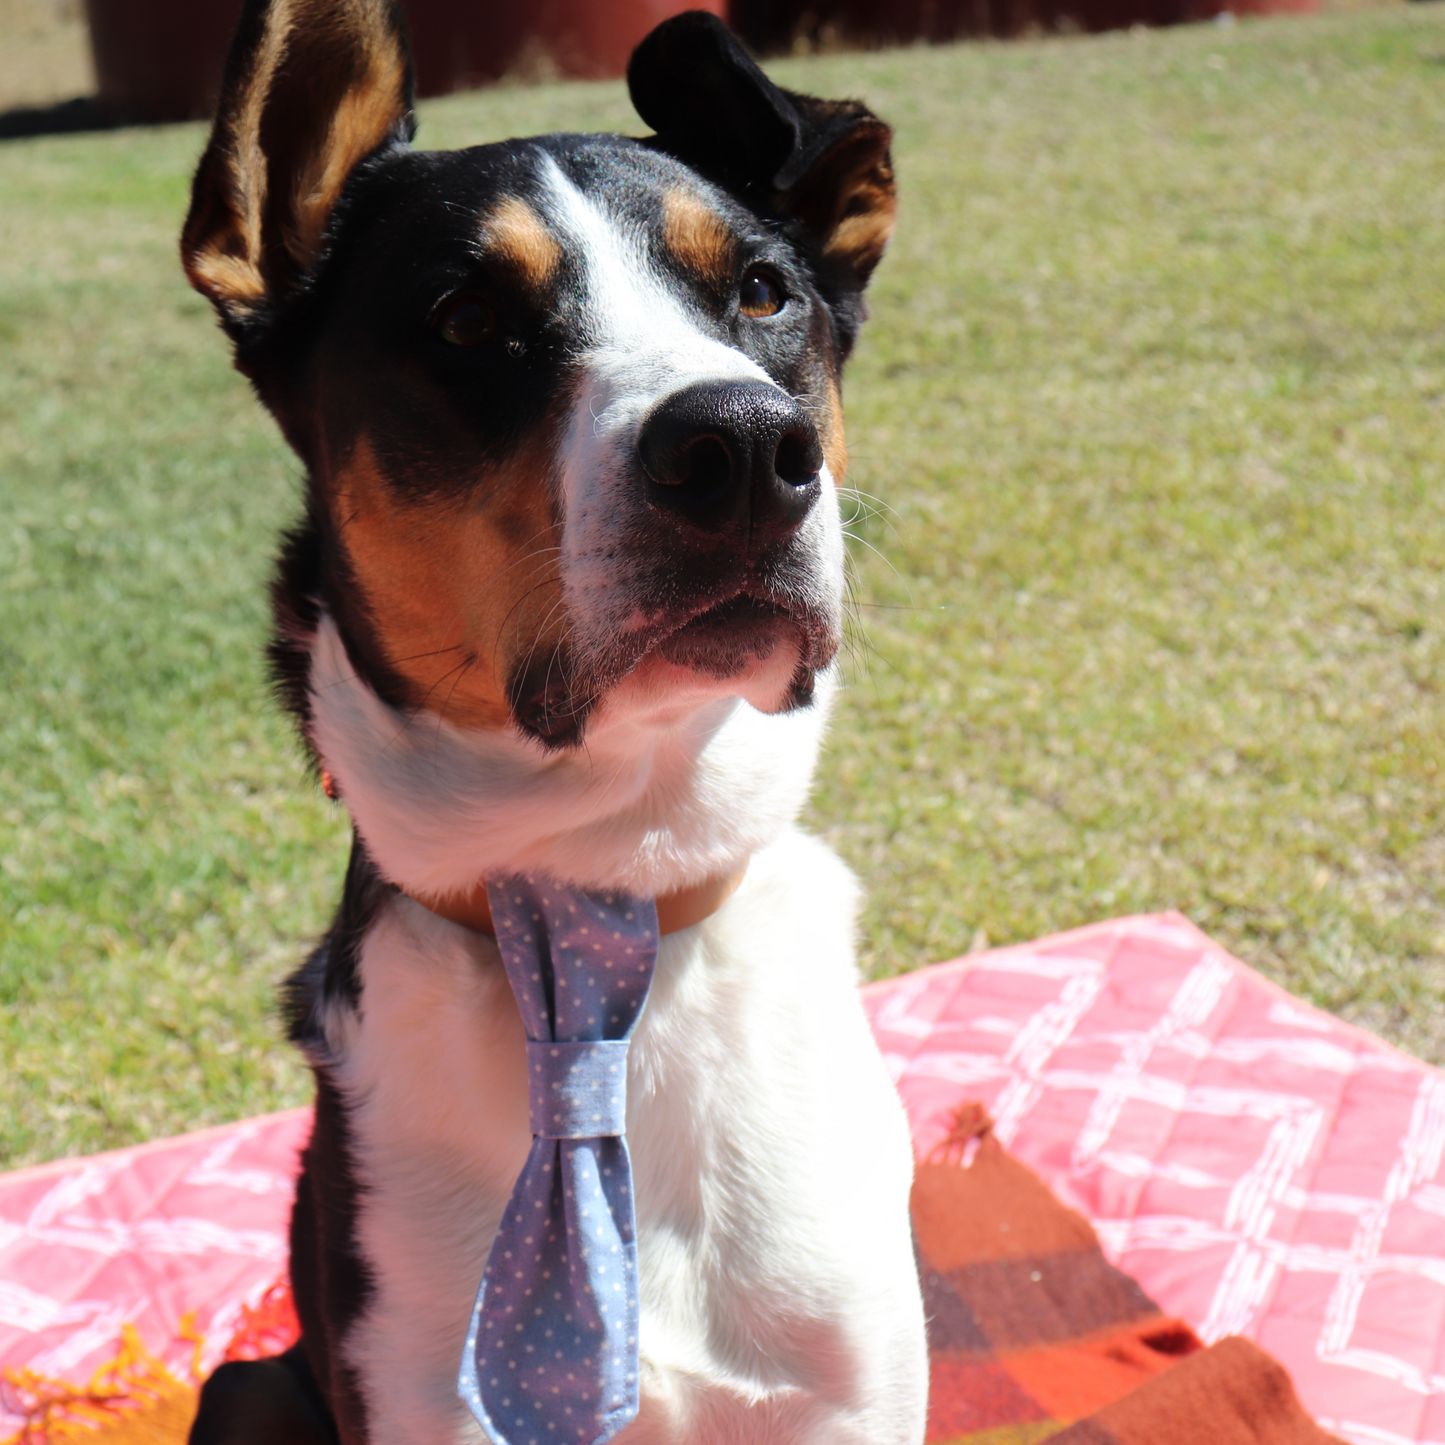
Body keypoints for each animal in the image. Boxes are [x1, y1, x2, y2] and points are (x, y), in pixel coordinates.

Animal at [180, 5, 924, 1439]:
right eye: (468, 319)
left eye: (763, 292)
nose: (745, 449)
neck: (602, 881)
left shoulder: (847, 1381)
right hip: (249, 1384)